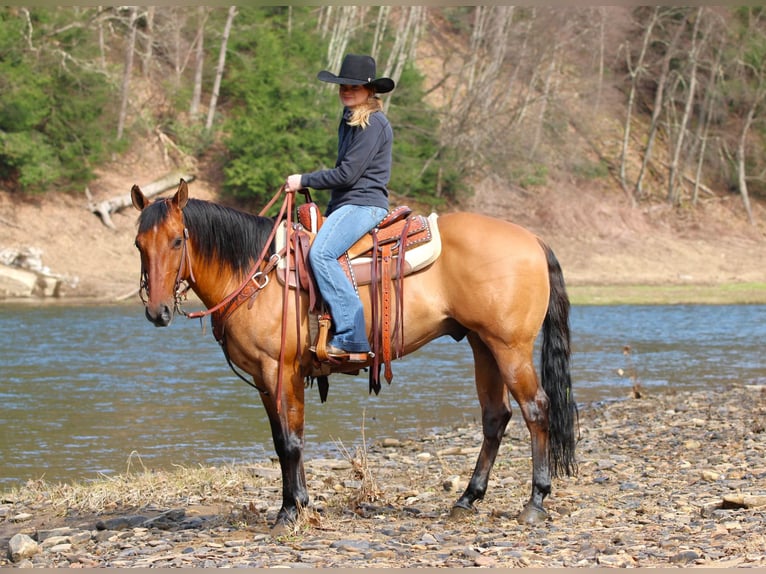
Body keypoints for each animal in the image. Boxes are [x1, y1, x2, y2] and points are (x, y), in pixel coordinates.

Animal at [130, 179, 578, 530]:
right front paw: (299, 504)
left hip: (509, 347)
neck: (256, 273)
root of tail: (533, 240)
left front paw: (289, 513)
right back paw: (468, 498)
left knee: (536, 409)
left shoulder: (280, 370)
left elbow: (290, 441)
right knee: (495, 417)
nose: (157, 312)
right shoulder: (266, 378)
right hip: (482, 343)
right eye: (138, 243)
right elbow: (284, 438)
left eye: (177, 240)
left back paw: (535, 501)